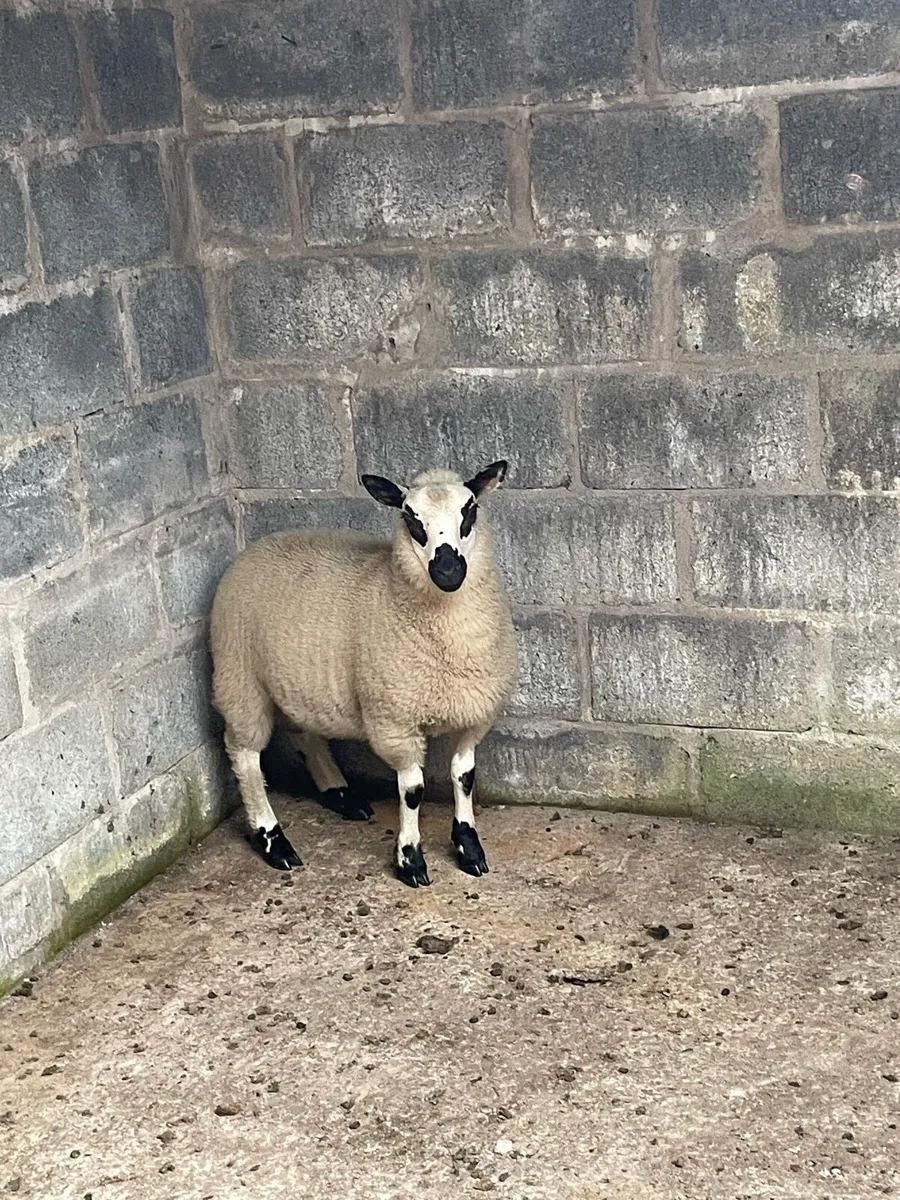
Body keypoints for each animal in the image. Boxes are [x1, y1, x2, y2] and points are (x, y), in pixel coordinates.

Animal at [209, 459, 518, 887]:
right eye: (410, 517)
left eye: (469, 511)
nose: (448, 570)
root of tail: (257, 545)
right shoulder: (394, 719)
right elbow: (413, 790)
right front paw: (411, 861)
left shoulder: (476, 712)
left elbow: (464, 776)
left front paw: (469, 848)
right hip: (240, 677)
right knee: (244, 755)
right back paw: (274, 841)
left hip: (297, 681)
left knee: (304, 732)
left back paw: (342, 796)